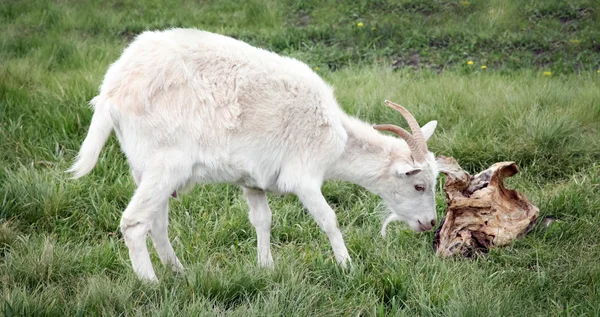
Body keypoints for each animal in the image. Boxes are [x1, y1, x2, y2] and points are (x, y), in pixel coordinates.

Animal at [69, 28, 440, 280]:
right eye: (419, 185)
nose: (430, 223)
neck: (336, 136)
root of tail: (111, 91)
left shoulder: (253, 180)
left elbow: (263, 220)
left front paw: (266, 266)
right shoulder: (304, 175)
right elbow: (329, 219)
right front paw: (346, 266)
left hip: (143, 166)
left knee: (157, 221)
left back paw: (179, 271)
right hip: (165, 163)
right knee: (134, 222)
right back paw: (151, 284)